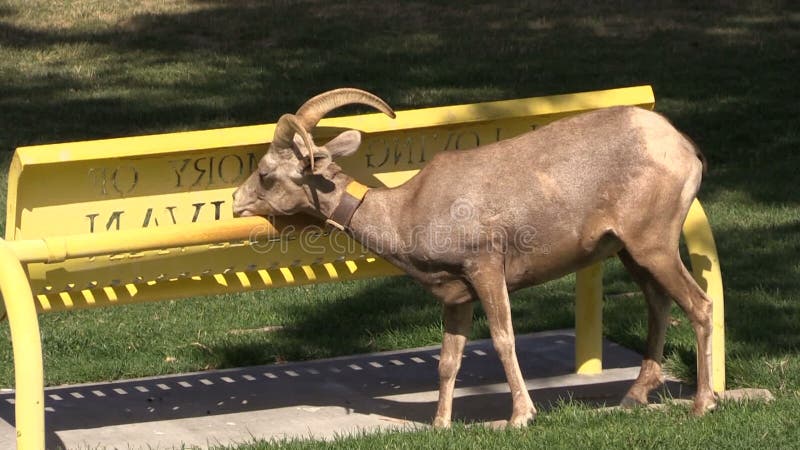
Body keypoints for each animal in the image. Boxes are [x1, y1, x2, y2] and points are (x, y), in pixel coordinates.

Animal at [230, 87, 712, 426]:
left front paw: (521, 416)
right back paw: (633, 397)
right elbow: (448, 361)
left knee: (700, 305)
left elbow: (502, 339)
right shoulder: (456, 296)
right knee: (659, 303)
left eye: (266, 174)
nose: (236, 202)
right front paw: (441, 424)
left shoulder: (485, 269)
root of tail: (685, 148)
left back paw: (702, 404)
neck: (406, 211)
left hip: (653, 243)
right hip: (630, 251)